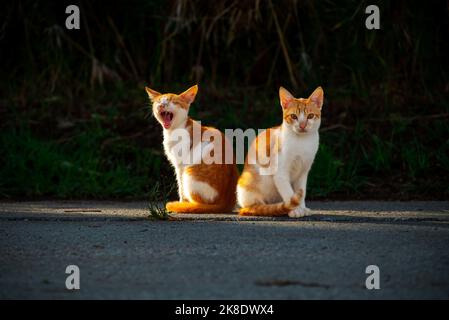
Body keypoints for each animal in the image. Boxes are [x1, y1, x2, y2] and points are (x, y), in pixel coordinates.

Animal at [236, 86, 324, 216]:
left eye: (310, 116)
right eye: (293, 116)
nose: (302, 125)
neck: (301, 142)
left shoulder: (303, 173)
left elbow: (301, 192)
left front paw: (302, 207)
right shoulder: (280, 173)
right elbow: (289, 193)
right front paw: (295, 210)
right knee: (254, 207)